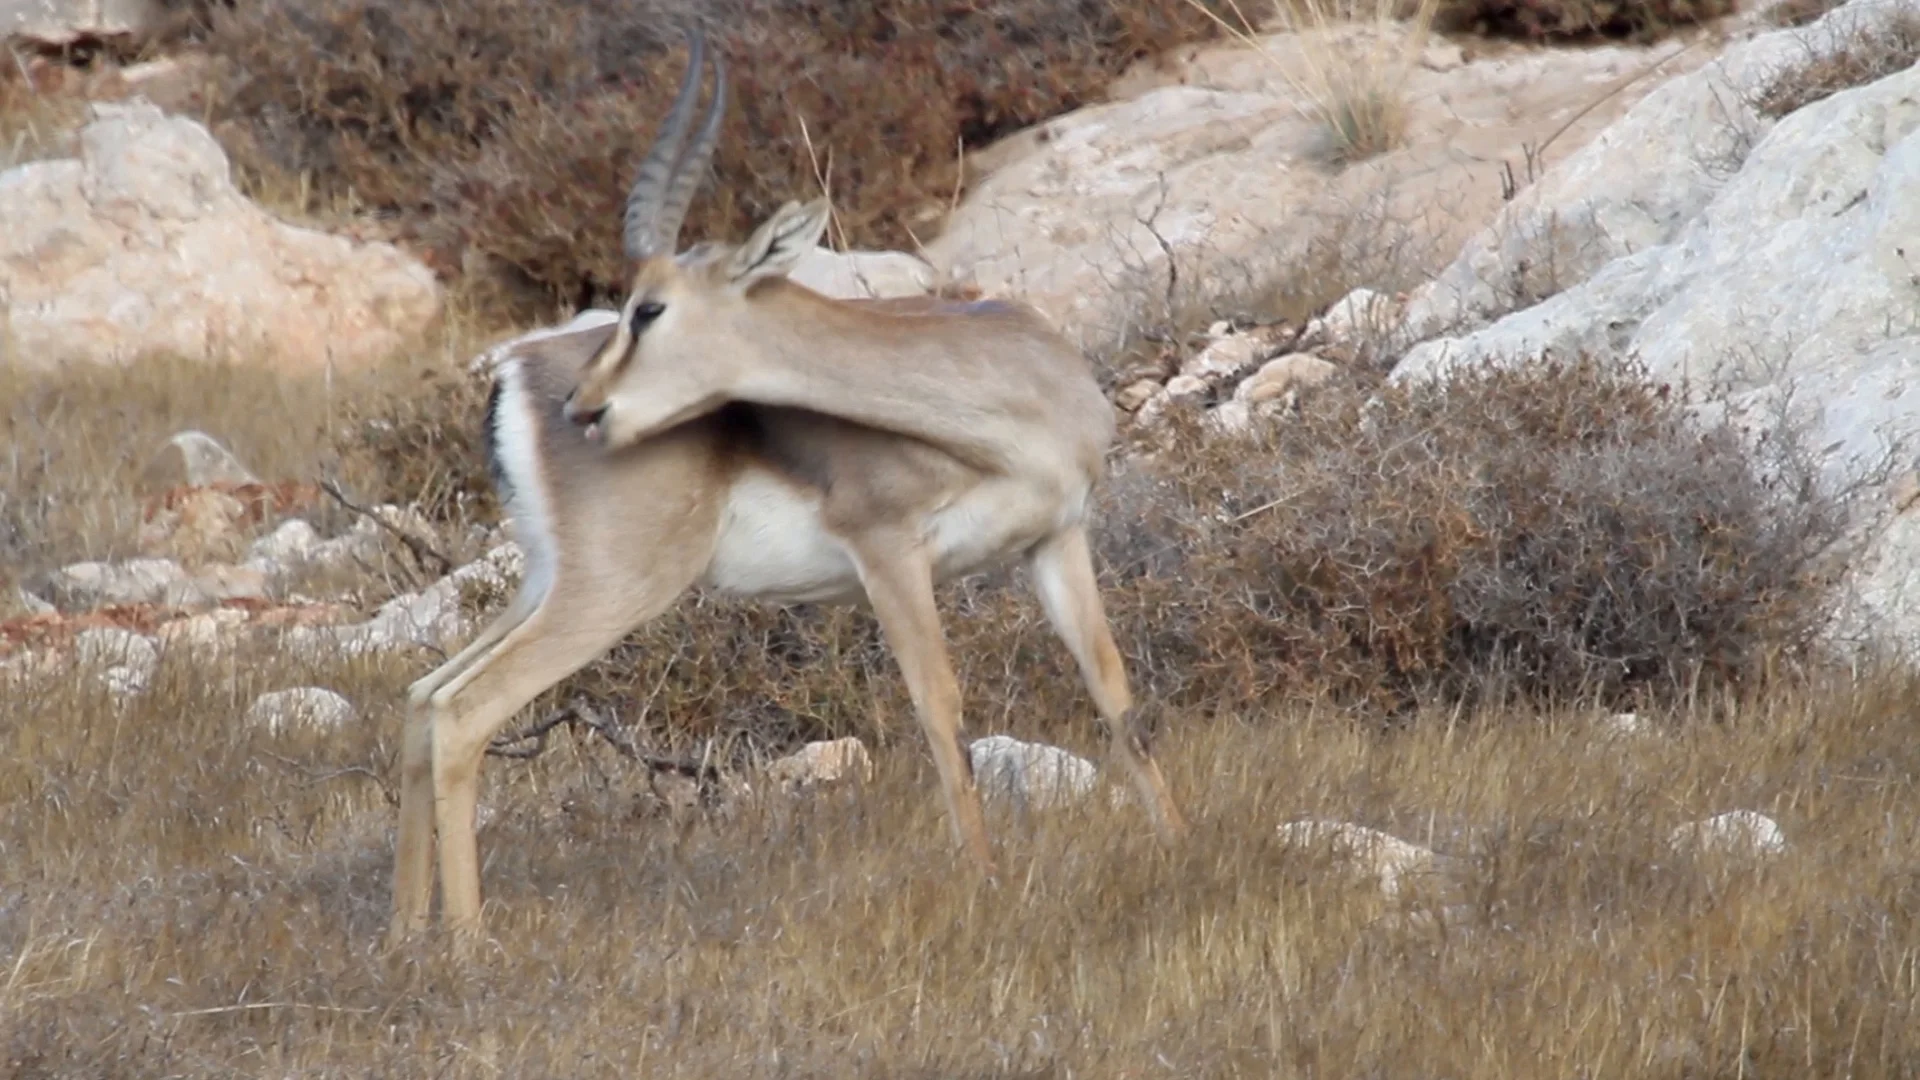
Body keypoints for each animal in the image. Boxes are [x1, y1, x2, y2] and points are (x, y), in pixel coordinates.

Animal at [390, 30, 1187, 949]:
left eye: (649, 308)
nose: (585, 407)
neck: (1009, 398)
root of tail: (512, 377)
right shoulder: (888, 552)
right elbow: (942, 712)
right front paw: (987, 881)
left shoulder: (1057, 538)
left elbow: (1116, 697)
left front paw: (1177, 843)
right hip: (613, 590)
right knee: (465, 710)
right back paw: (466, 942)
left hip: (547, 582)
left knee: (424, 697)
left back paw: (406, 934)